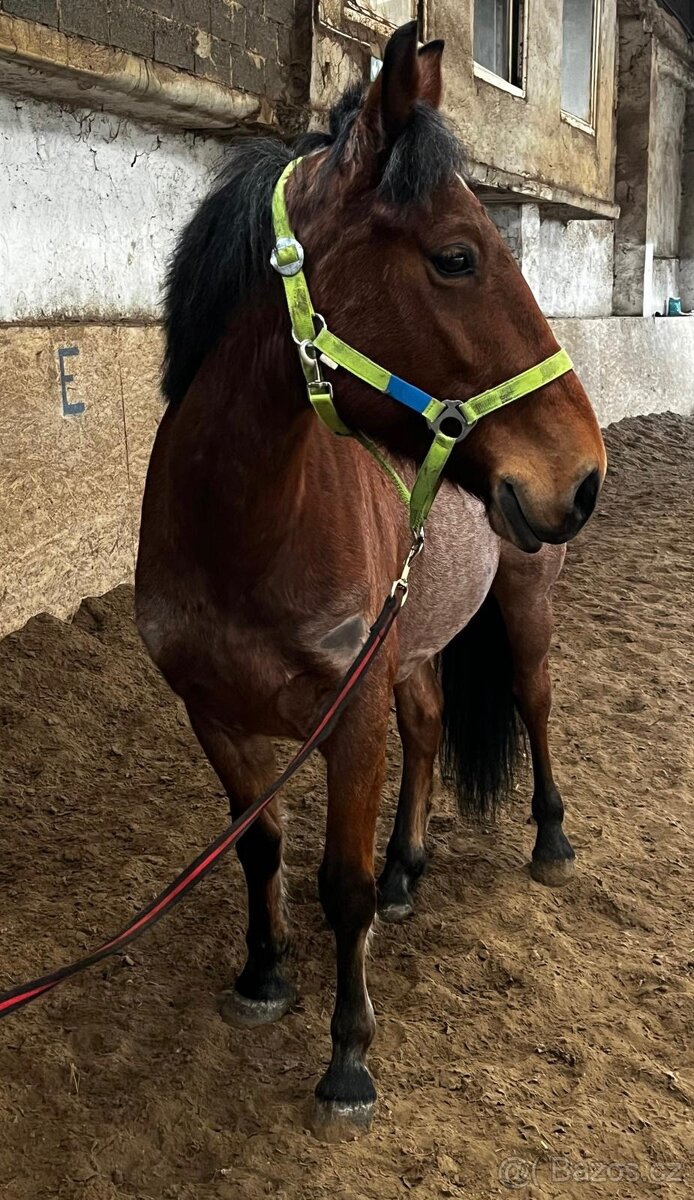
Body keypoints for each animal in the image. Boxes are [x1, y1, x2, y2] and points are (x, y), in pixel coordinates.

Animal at [135, 21, 606, 1136]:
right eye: (456, 258)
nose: (584, 475)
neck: (243, 533)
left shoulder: (347, 721)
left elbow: (337, 884)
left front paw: (348, 1058)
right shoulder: (210, 712)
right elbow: (259, 845)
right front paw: (263, 972)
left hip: (522, 610)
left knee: (534, 705)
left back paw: (549, 842)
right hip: (415, 644)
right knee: (430, 728)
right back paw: (409, 869)